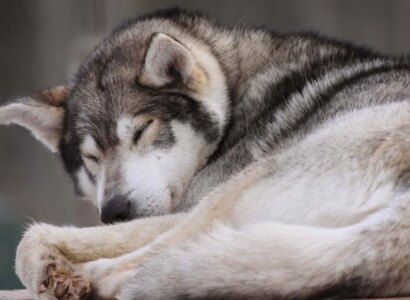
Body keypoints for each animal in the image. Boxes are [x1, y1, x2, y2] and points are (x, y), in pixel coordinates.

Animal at [2, 8, 410, 298]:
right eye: (91, 159)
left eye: (142, 130)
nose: (114, 210)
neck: (235, 93)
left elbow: (33, 237)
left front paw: (48, 268)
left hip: (234, 193)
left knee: (148, 257)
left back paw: (97, 277)